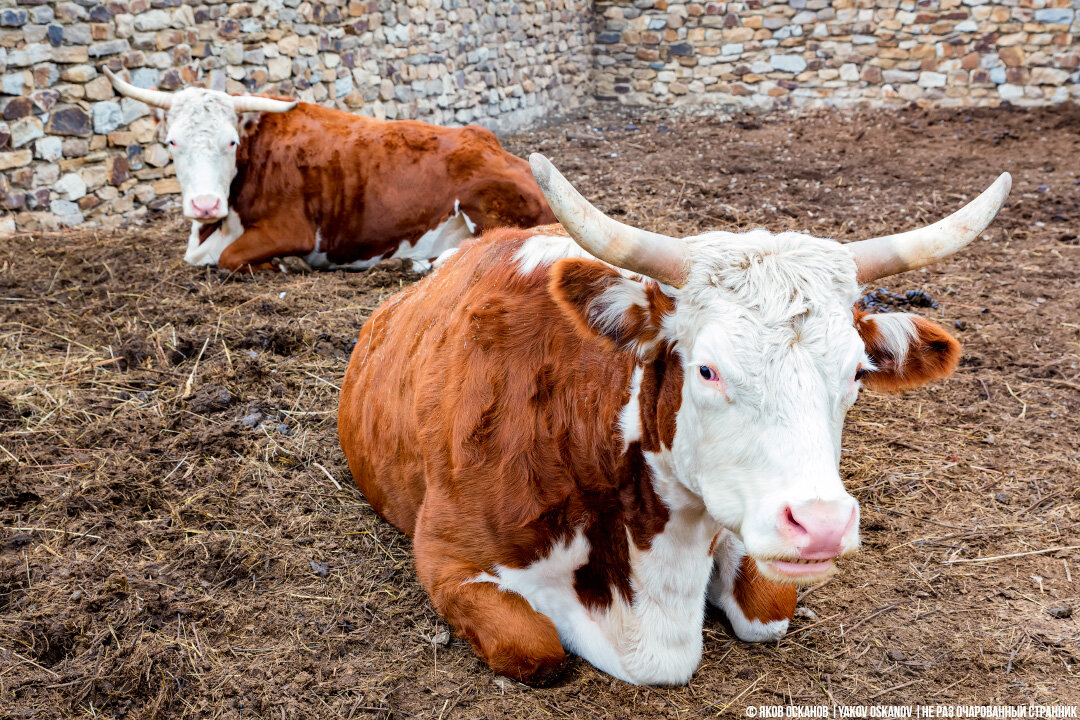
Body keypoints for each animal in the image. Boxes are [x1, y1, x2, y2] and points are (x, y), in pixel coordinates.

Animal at [103, 69, 557, 272]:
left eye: (230, 142)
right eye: (172, 142)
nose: (204, 205)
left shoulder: (292, 230)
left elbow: (231, 259)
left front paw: (285, 265)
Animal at [339, 155, 1010, 686]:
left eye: (856, 374)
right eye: (708, 370)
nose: (820, 526)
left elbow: (769, 609)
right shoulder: (446, 555)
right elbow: (535, 648)